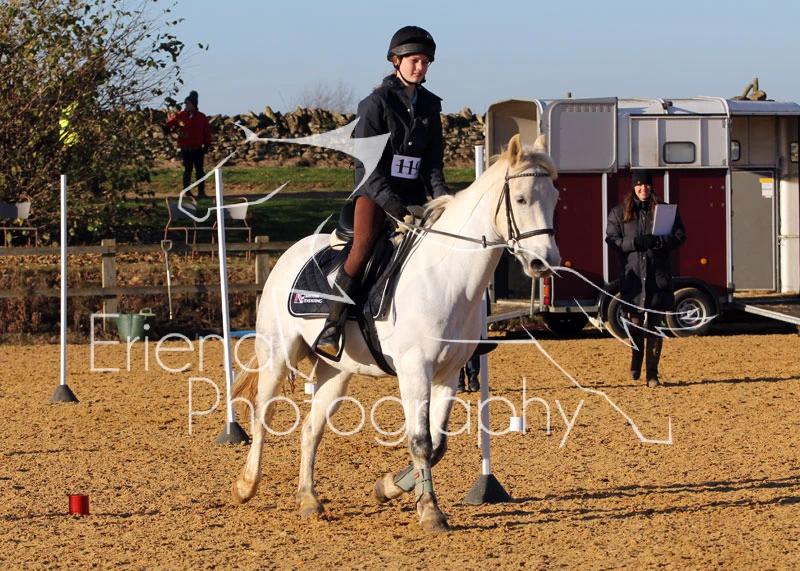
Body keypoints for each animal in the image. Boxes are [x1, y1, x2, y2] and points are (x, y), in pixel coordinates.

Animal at [230, 133, 561, 533]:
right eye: (522, 198)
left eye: (555, 198)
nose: (545, 262)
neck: (447, 276)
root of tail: (289, 253)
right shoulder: (415, 370)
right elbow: (420, 442)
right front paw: (430, 510)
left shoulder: (449, 374)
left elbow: (438, 445)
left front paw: (389, 487)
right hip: (277, 355)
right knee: (262, 414)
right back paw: (246, 485)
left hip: (335, 371)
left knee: (311, 428)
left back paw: (308, 499)